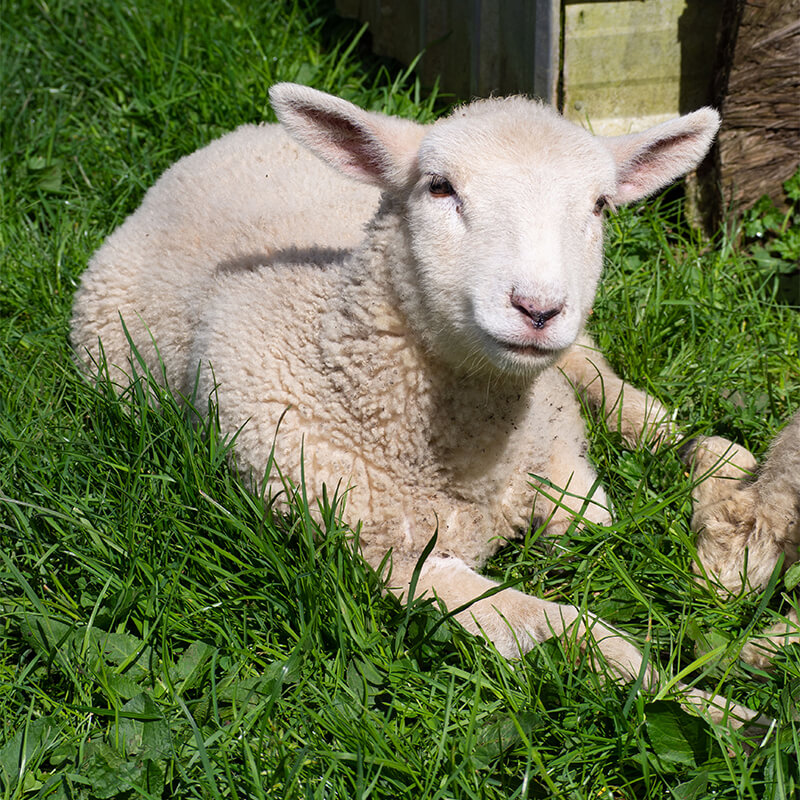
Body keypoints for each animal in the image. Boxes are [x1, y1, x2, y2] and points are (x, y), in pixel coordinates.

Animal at [69, 86, 764, 732]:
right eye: (440, 187)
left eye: (600, 205)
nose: (538, 308)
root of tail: (228, 139)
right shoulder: (376, 553)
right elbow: (552, 622)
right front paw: (705, 706)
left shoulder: (567, 477)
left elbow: (597, 517)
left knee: (607, 382)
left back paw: (715, 462)